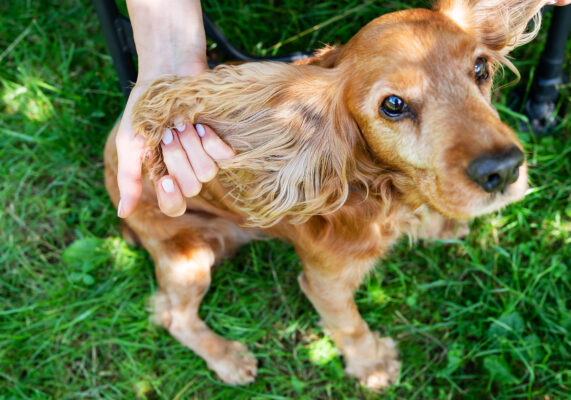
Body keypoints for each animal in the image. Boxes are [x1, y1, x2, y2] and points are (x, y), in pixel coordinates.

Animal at [103, 0, 544, 390]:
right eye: (394, 104)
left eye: (480, 68)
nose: (504, 168)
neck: (382, 191)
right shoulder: (325, 282)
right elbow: (349, 325)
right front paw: (372, 365)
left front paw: (442, 225)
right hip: (189, 255)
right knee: (171, 315)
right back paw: (227, 358)